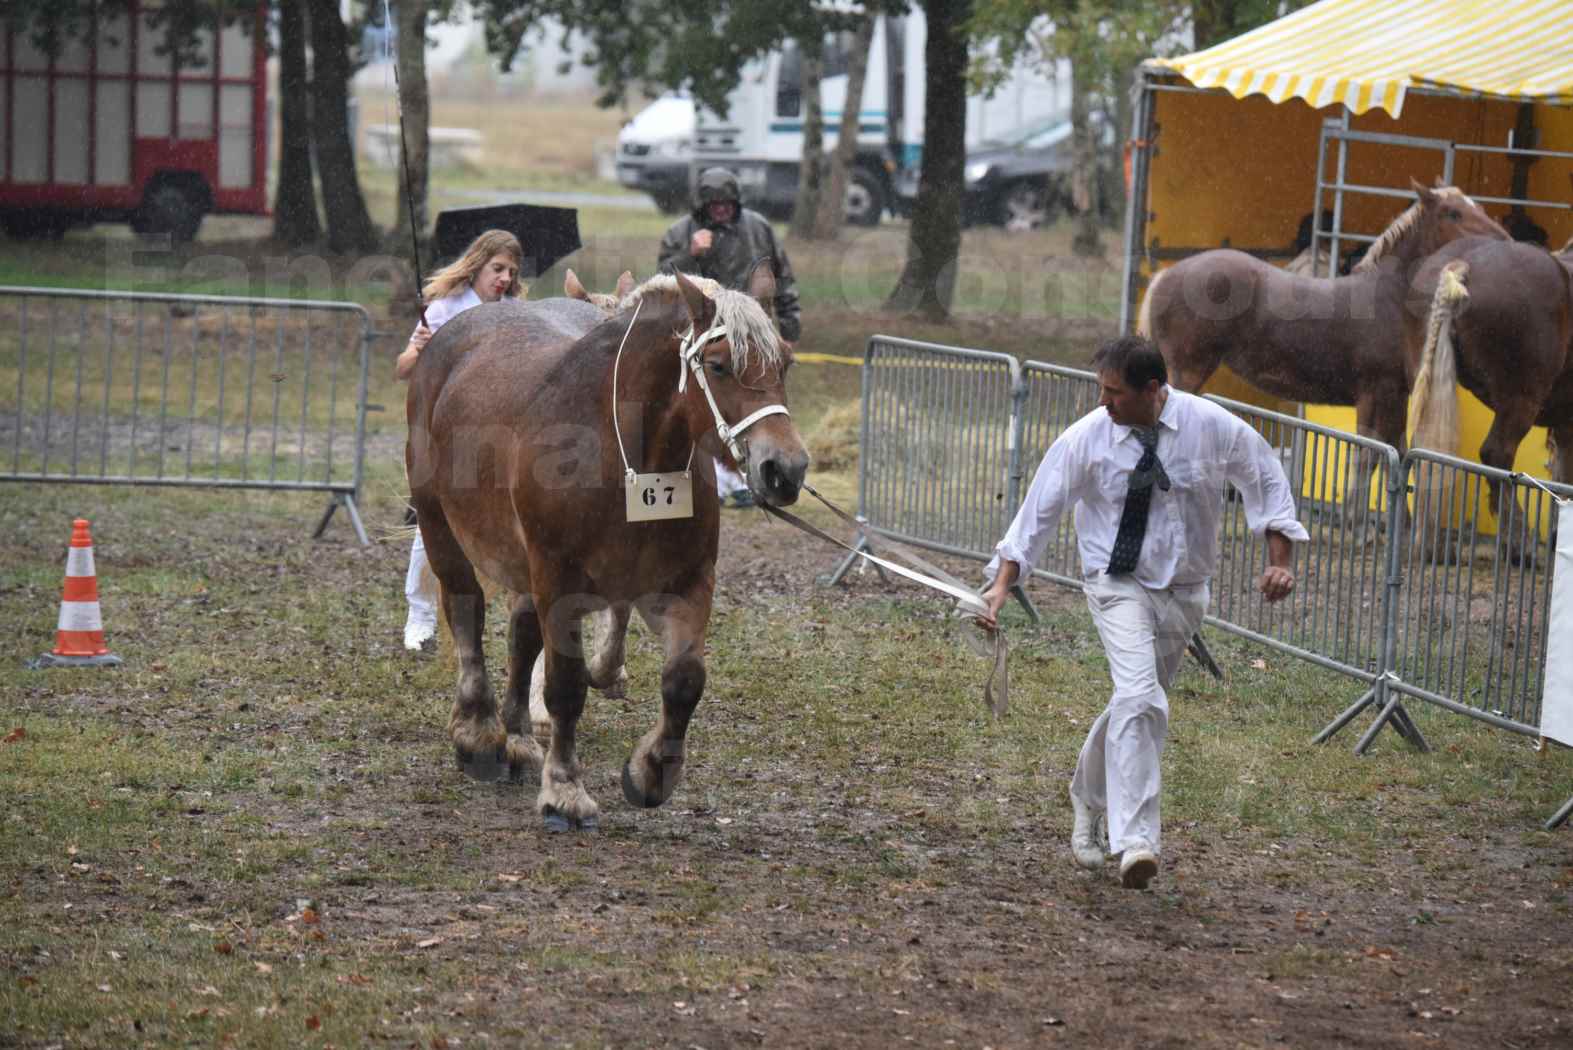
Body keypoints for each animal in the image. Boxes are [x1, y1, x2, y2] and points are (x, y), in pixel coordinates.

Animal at [402, 267, 811, 829]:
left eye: (784, 362)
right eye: (718, 365)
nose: (784, 469)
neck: (625, 455)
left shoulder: (687, 579)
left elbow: (685, 679)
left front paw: (651, 772)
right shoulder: (559, 580)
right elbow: (566, 686)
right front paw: (564, 791)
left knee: (522, 634)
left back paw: (518, 737)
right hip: (440, 525)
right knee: (466, 609)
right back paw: (479, 733)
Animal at [1145, 180, 1510, 512]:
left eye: (1476, 206)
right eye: (1453, 212)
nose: (1503, 241)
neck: (1388, 299)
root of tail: (1165, 277)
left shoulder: (1395, 397)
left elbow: (1398, 458)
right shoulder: (1373, 394)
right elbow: (1367, 458)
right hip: (1188, 369)